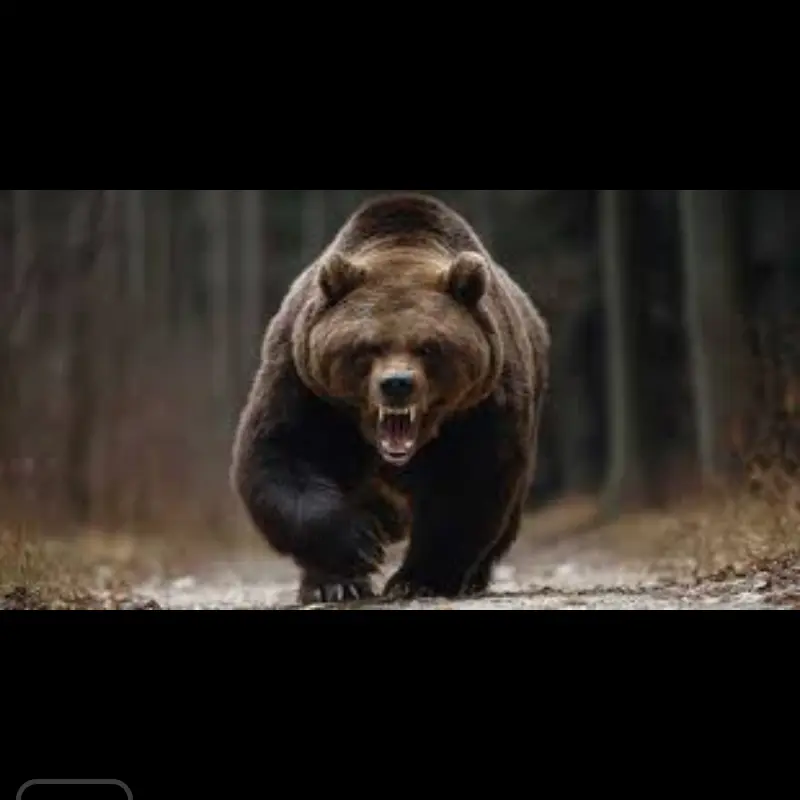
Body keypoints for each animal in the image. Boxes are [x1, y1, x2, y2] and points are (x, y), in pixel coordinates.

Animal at [230, 192, 550, 605]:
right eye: (368, 346)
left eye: (429, 347)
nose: (397, 383)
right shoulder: (306, 386)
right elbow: (283, 455)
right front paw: (355, 551)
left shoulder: (481, 404)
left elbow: (468, 482)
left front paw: (418, 579)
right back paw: (330, 582)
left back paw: (473, 577)